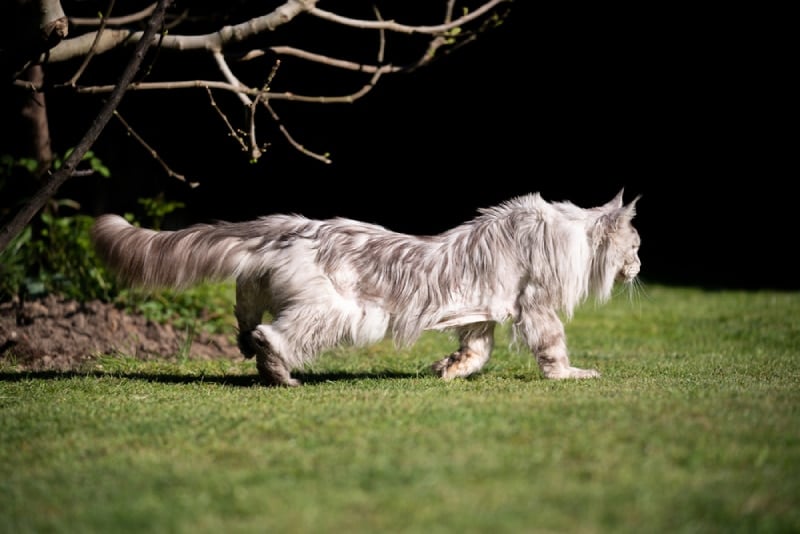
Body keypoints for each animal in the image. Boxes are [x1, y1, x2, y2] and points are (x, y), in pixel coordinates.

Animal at [90, 191, 640, 388]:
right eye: (635, 245)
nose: (641, 266)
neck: (568, 233)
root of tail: (294, 225)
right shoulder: (535, 304)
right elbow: (553, 349)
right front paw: (571, 375)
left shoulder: (482, 311)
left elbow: (475, 351)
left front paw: (449, 370)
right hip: (337, 311)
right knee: (274, 336)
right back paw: (279, 375)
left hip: (262, 284)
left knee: (246, 316)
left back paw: (250, 350)